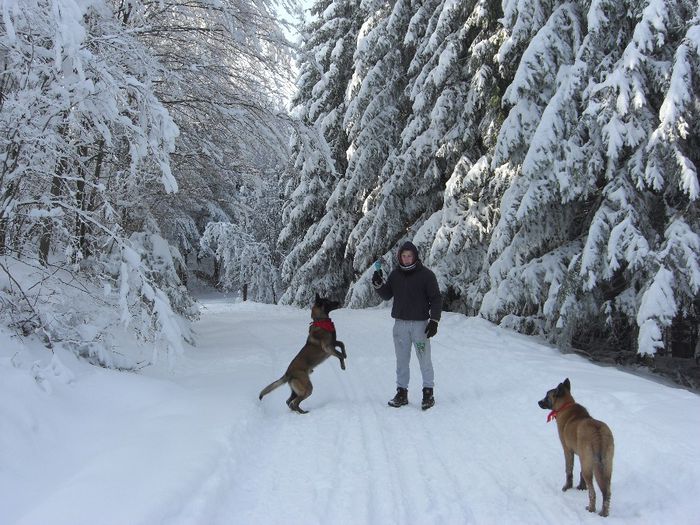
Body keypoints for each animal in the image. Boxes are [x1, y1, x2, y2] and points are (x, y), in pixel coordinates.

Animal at [540, 376, 616, 516]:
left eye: (547, 396)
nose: (538, 402)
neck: (565, 405)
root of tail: (598, 433)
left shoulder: (567, 450)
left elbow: (569, 470)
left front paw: (567, 487)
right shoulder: (581, 456)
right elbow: (579, 473)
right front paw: (581, 487)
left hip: (590, 465)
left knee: (593, 492)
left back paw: (591, 509)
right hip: (606, 466)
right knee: (607, 492)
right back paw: (604, 513)